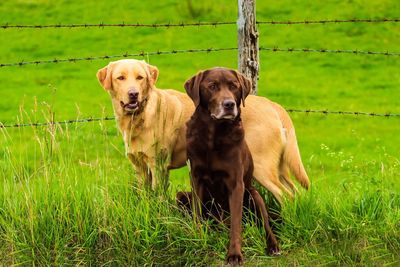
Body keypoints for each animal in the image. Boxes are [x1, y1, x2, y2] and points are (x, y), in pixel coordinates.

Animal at [177, 68, 280, 264]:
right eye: (212, 86)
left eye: (234, 86)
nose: (229, 104)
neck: (213, 136)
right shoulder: (196, 179)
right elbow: (197, 213)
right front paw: (198, 238)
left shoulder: (236, 184)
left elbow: (236, 223)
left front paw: (234, 254)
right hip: (181, 196)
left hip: (254, 195)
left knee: (265, 225)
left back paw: (273, 246)